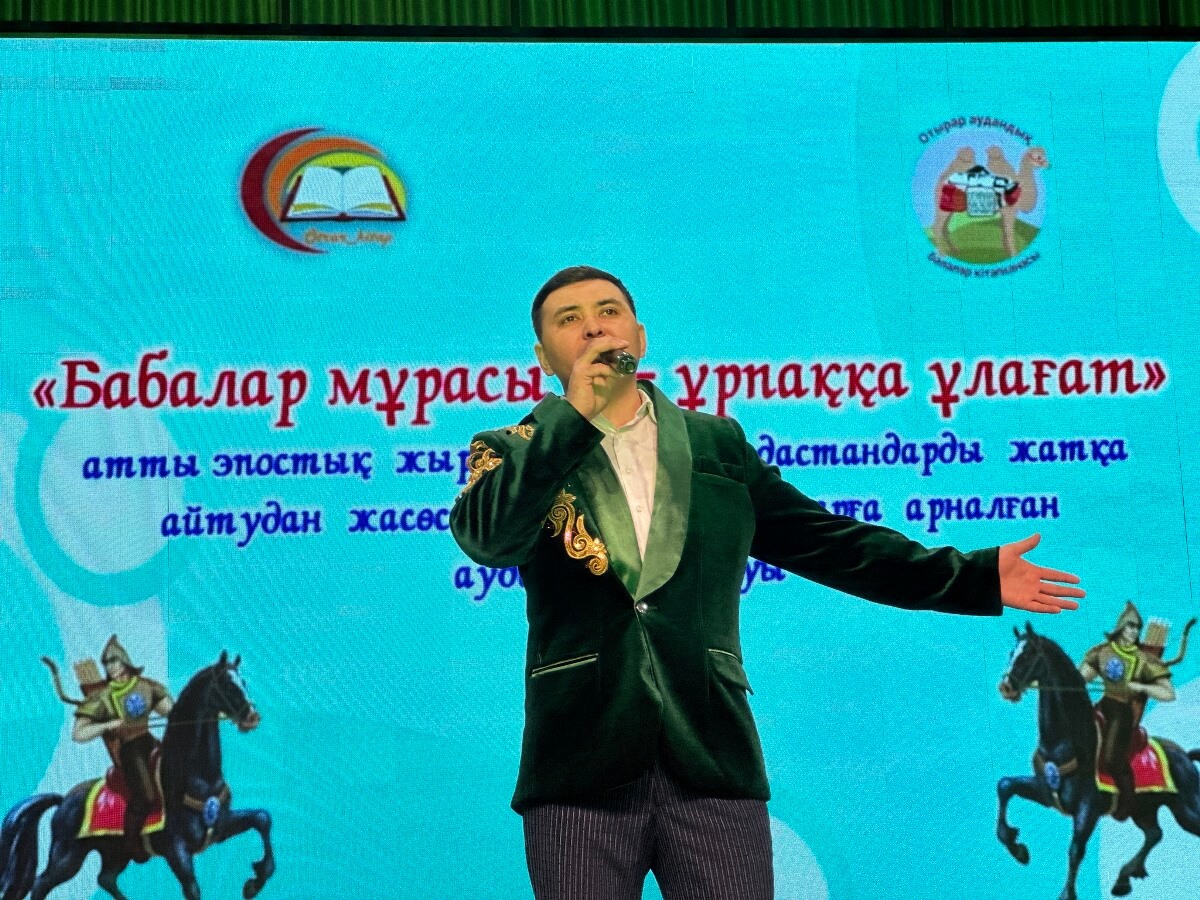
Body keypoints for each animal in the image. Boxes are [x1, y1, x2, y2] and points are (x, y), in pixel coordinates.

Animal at [0, 651, 273, 900]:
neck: (195, 777)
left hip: (115, 852)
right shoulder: (176, 849)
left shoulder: (220, 826)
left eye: (243, 682)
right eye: (227, 685)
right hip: (67, 856)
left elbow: (262, 818)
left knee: (106, 878)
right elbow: (192, 889)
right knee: (42, 884)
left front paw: (255, 882)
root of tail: (64, 800)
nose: (252, 717)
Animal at [996, 623, 1200, 900]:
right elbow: (1005, 785)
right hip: (1143, 809)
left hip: (1187, 810)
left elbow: (1075, 850)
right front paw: (1016, 847)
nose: (1006, 687)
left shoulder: (1088, 807)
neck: (1068, 739)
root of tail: (1185, 756)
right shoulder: (1046, 790)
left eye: (1028, 654)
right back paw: (1124, 878)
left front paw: (1067, 894)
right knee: (1154, 833)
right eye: (1011, 652)